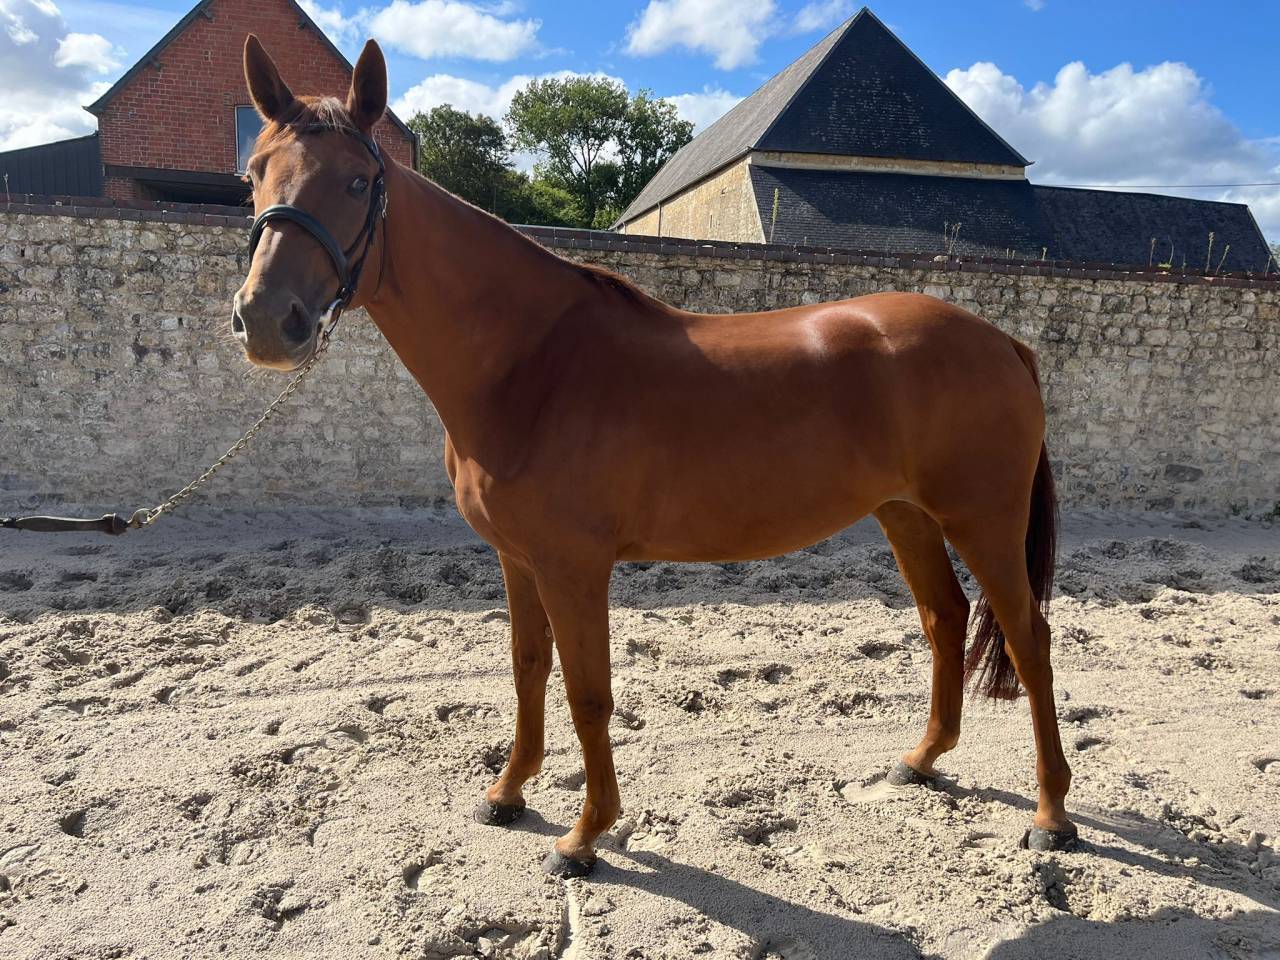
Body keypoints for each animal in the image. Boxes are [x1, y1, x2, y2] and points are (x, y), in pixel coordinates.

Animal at [233, 35, 1075, 878]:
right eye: (254, 175)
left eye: (358, 180)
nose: (268, 321)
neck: (532, 362)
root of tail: (1001, 340)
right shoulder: (518, 557)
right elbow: (528, 669)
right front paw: (508, 794)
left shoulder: (574, 565)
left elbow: (588, 693)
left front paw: (584, 835)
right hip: (906, 515)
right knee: (944, 617)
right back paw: (922, 760)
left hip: (984, 522)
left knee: (1028, 639)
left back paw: (1051, 815)